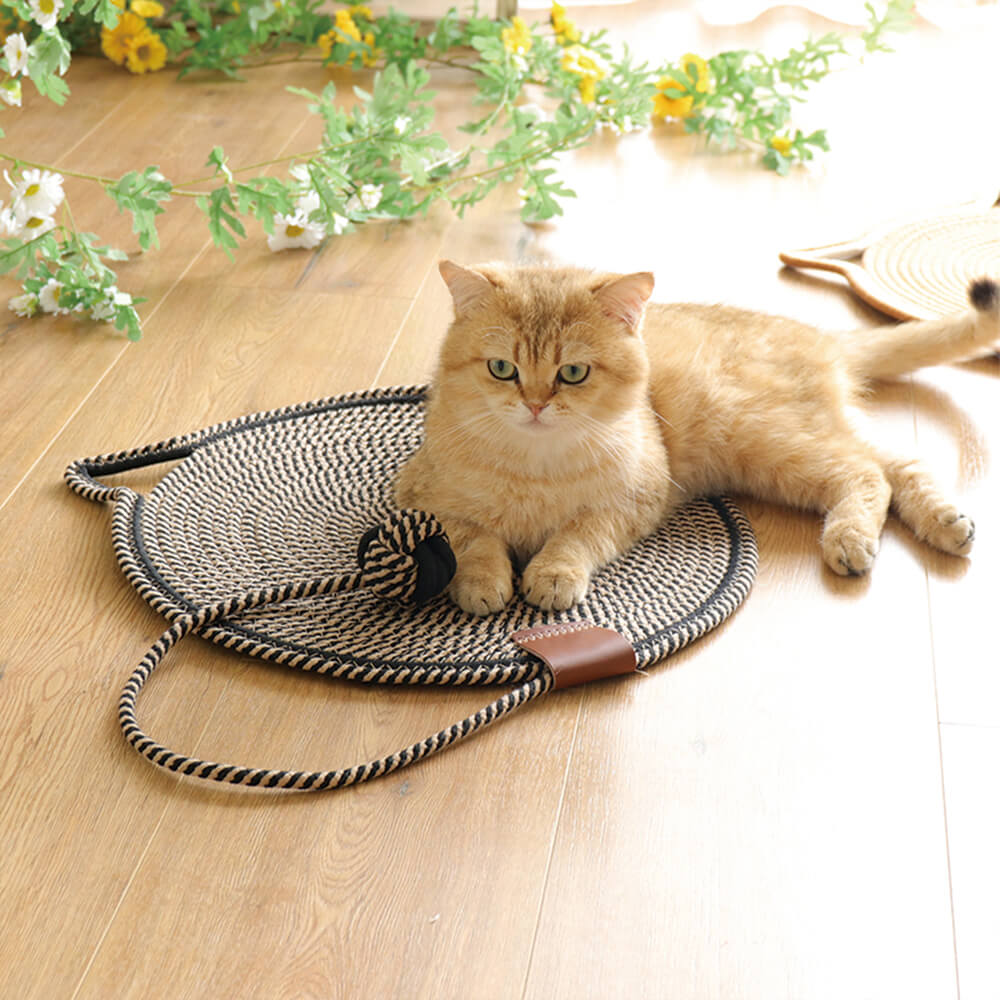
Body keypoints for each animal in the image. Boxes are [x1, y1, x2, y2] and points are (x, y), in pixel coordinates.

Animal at [394, 262, 996, 612]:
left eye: (573, 373)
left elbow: (576, 535)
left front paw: (552, 573)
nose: (537, 404)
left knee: (868, 472)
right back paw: (946, 522)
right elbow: (472, 536)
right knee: (898, 462)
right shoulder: (421, 495)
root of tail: (823, 335)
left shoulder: (634, 498)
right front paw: (483, 579)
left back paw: (853, 539)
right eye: (502, 368)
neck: (534, 463)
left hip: (768, 439)